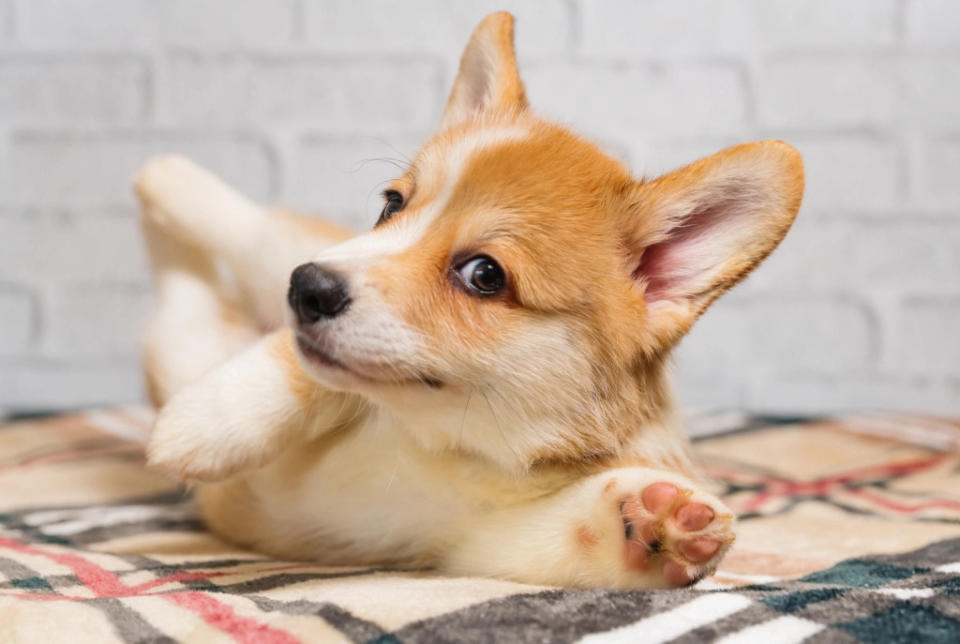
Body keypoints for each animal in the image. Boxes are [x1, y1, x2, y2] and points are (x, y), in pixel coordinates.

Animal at [137, 11, 804, 588]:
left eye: (484, 275)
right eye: (392, 205)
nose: (306, 290)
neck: (442, 442)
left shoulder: (473, 541)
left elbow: (573, 534)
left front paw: (657, 524)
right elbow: (299, 366)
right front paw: (204, 424)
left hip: (195, 333)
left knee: (181, 303)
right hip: (267, 268)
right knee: (249, 232)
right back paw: (163, 174)